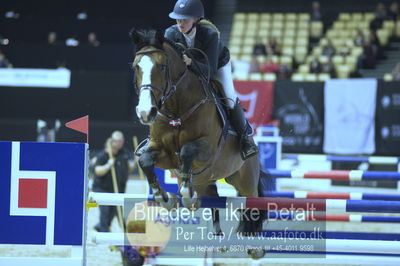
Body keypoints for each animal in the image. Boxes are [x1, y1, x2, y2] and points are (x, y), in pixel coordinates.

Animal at [130, 29, 264, 237]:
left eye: (162, 67)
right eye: (136, 67)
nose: (145, 112)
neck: (176, 110)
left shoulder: (208, 151)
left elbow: (187, 151)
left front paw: (187, 194)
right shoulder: (164, 154)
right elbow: (145, 161)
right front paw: (165, 198)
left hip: (246, 181)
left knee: (252, 204)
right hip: (205, 182)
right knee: (213, 198)